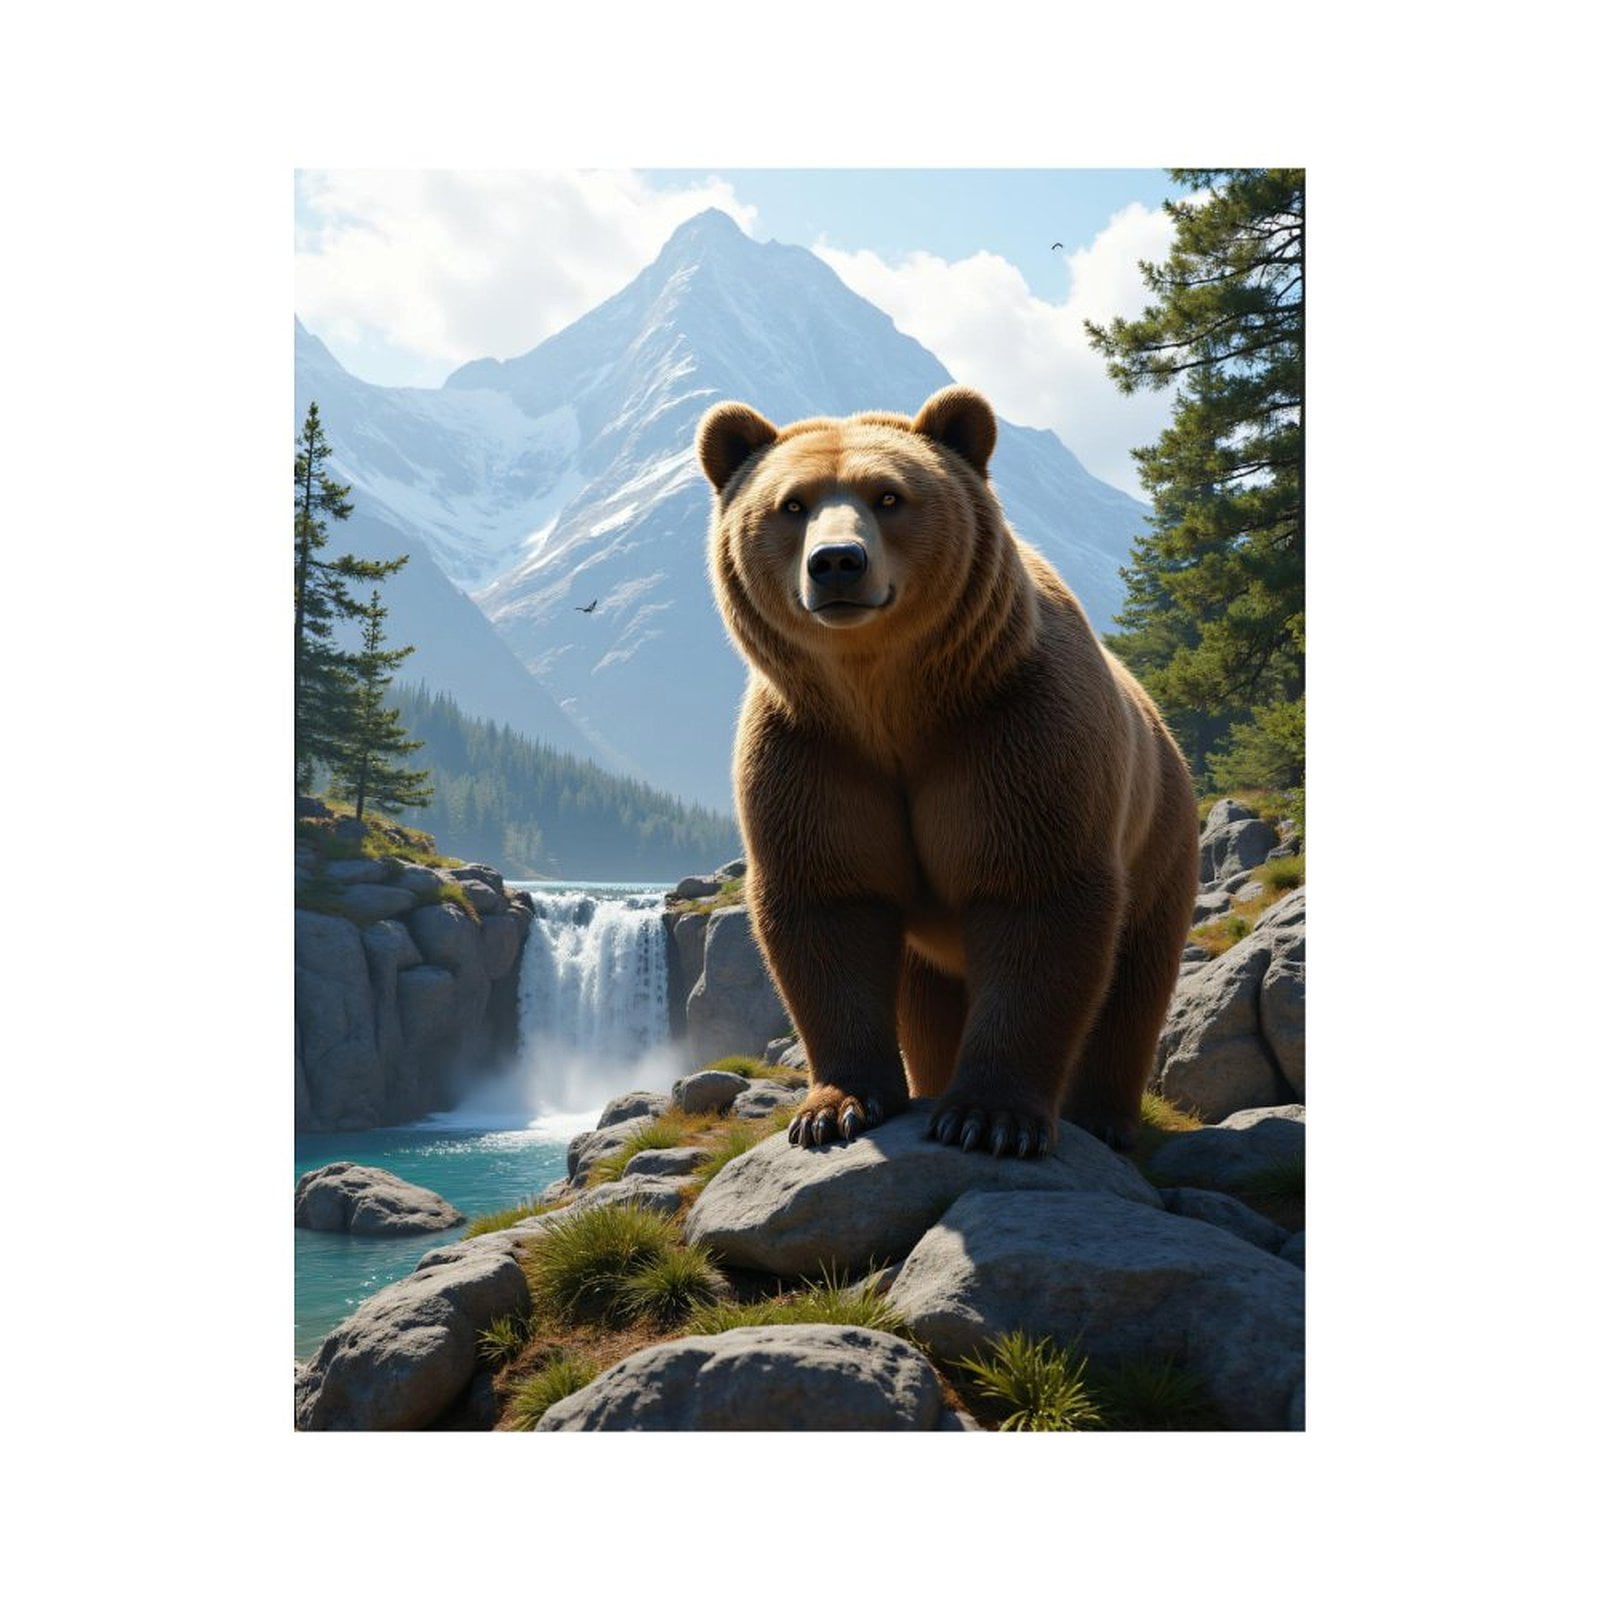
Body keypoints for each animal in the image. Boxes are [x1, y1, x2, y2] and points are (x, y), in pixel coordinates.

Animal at [696, 385, 1198, 1158]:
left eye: (888, 495)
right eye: (792, 504)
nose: (837, 562)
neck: (891, 701)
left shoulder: (1013, 736)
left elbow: (1037, 900)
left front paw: (989, 1118)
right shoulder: (814, 755)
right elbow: (827, 907)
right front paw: (835, 1109)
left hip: (1158, 839)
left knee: (1134, 980)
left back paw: (1104, 1116)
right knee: (925, 1003)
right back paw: (931, 1080)